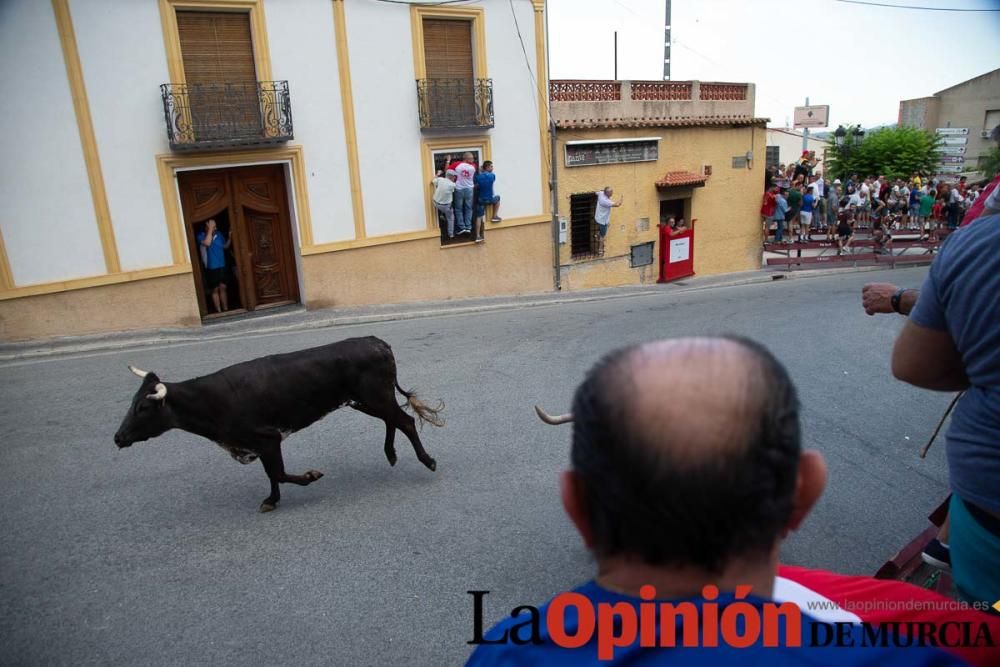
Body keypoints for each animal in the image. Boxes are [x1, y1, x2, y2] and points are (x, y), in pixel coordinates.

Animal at [113, 336, 442, 516]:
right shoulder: (260, 445)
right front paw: (272, 500)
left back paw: (427, 460)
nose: (118, 437)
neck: (211, 401)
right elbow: (273, 475)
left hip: (374, 398)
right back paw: (391, 454)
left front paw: (309, 477)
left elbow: (280, 473)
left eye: (143, 407)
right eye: (132, 402)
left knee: (405, 421)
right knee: (393, 420)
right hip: (365, 401)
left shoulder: (268, 439)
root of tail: (376, 341)